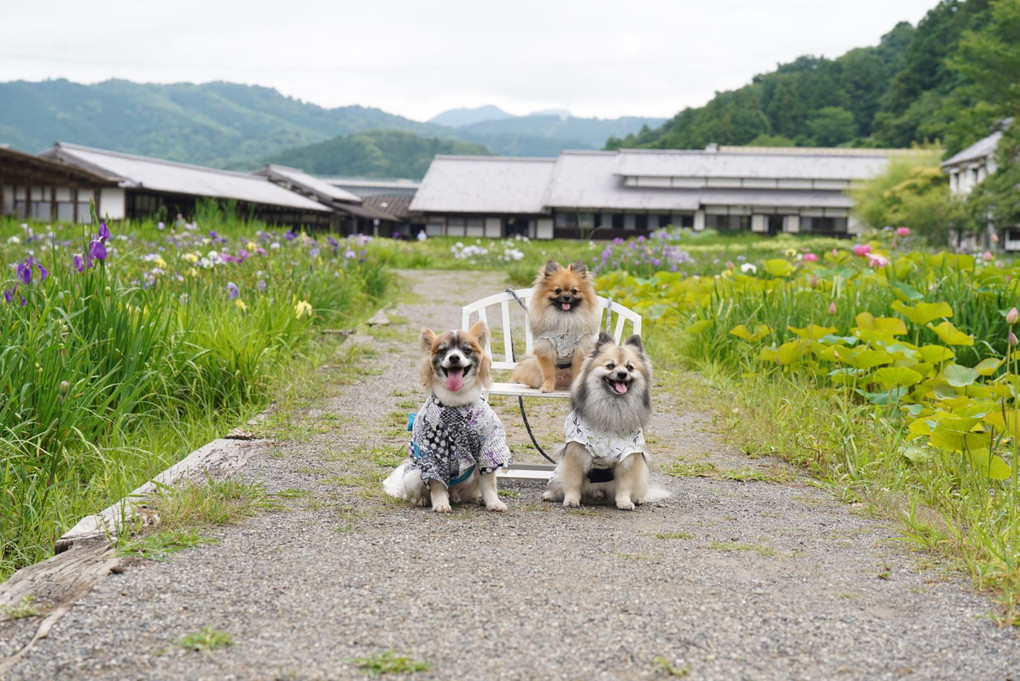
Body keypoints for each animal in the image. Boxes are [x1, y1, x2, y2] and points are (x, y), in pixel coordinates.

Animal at [383, 322, 514, 513]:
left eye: (466, 350)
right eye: (443, 351)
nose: (454, 358)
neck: (458, 402)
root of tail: (455, 494)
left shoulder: (488, 444)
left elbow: (489, 482)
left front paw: (493, 502)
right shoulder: (433, 451)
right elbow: (437, 483)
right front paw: (440, 504)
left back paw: (477, 498)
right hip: (413, 475)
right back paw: (423, 500)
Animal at [507, 263, 595, 393]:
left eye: (574, 291)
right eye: (557, 290)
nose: (567, 296)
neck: (564, 317)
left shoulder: (581, 348)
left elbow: (578, 371)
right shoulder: (546, 347)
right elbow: (548, 373)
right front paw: (547, 387)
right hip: (532, 364)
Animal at [542, 332, 669, 507]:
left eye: (629, 367)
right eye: (610, 366)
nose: (622, 374)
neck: (613, 405)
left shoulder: (628, 457)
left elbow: (625, 484)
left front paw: (624, 502)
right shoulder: (577, 452)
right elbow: (573, 481)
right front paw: (571, 500)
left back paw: (638, 499)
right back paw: (551, 494)